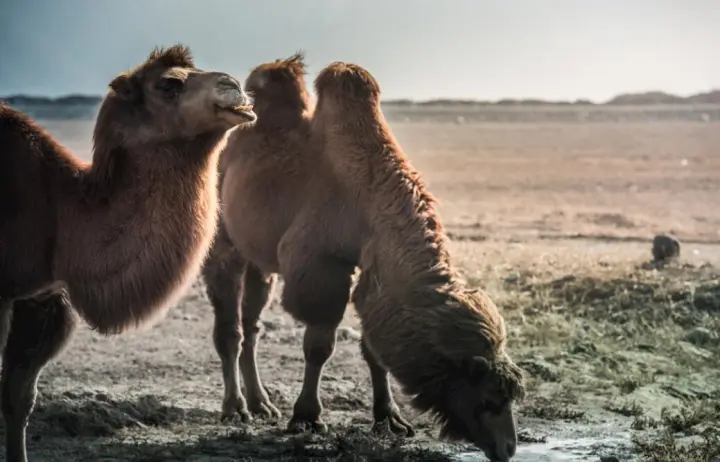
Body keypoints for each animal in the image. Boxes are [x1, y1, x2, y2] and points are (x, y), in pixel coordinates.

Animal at [204, 55, 524, 461]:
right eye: (487, 399)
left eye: (509, 396)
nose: (507, 447)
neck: (369, 193)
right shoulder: (321, 265)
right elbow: (320, 345)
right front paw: (307, 417)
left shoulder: (372, 271)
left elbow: (374, 347)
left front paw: (390, 419)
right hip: (222, 235)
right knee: (229, 326)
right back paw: (236, 408)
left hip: (259, 258)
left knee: (253, 320)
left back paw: (262, 403)